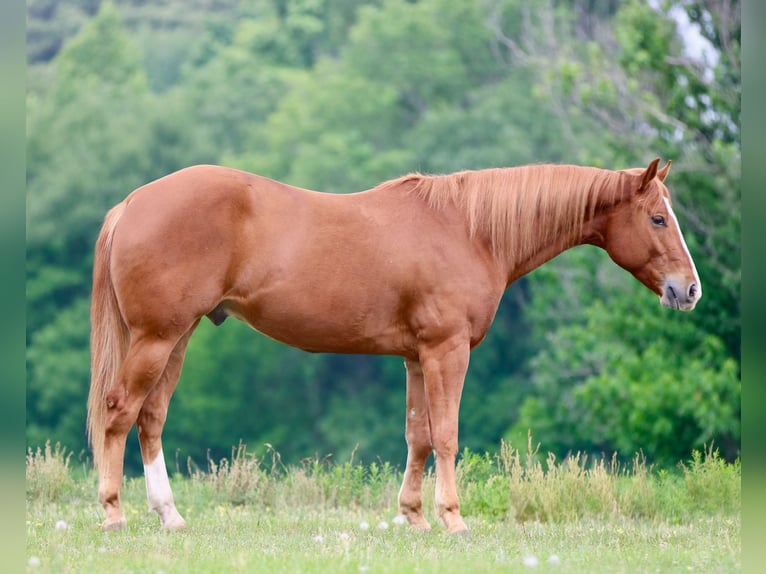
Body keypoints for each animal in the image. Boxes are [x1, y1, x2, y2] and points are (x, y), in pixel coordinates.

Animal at [87, 158, 700, 534]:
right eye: (657, 217)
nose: (689, 289)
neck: (471, 231)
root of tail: (130, 204)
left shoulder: (416, 358)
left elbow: (419, 436)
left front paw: (415, 517)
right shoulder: (448, 351)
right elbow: (447, 435)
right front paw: (454, 519)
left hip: (177, 337)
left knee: (150, 419)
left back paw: (170, 516)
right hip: (157, 338)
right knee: (119, 412)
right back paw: (114, 514)